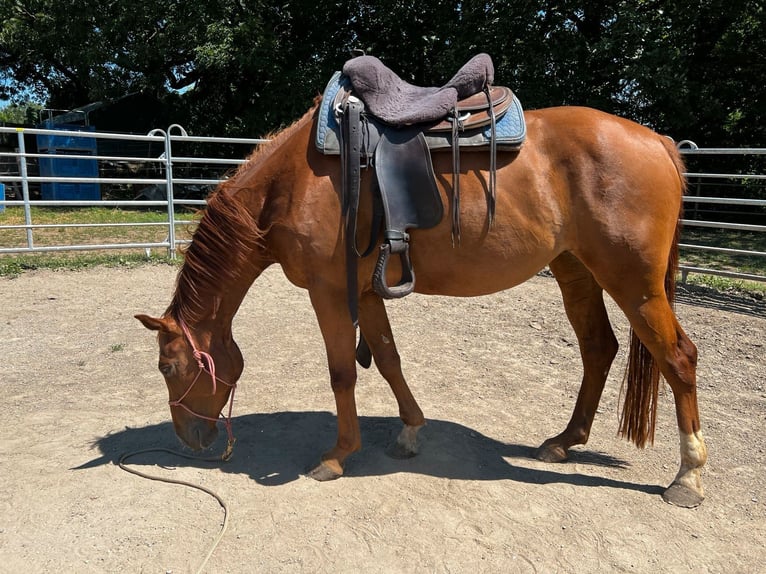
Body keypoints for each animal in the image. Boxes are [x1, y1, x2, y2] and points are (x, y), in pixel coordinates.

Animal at [136, 98, 708, 508]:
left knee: (677, 358)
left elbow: (343, 372)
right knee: (598, 349)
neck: (291, 183)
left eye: (167, 367)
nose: (190, 440)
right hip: (577, 272)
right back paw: (564, 441)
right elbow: (388, 359)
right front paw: (410, 431)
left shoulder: (329, 292)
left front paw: (337, 457)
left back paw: (688, 477)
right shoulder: (365, 292)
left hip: (635, 283)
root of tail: (657, 141)